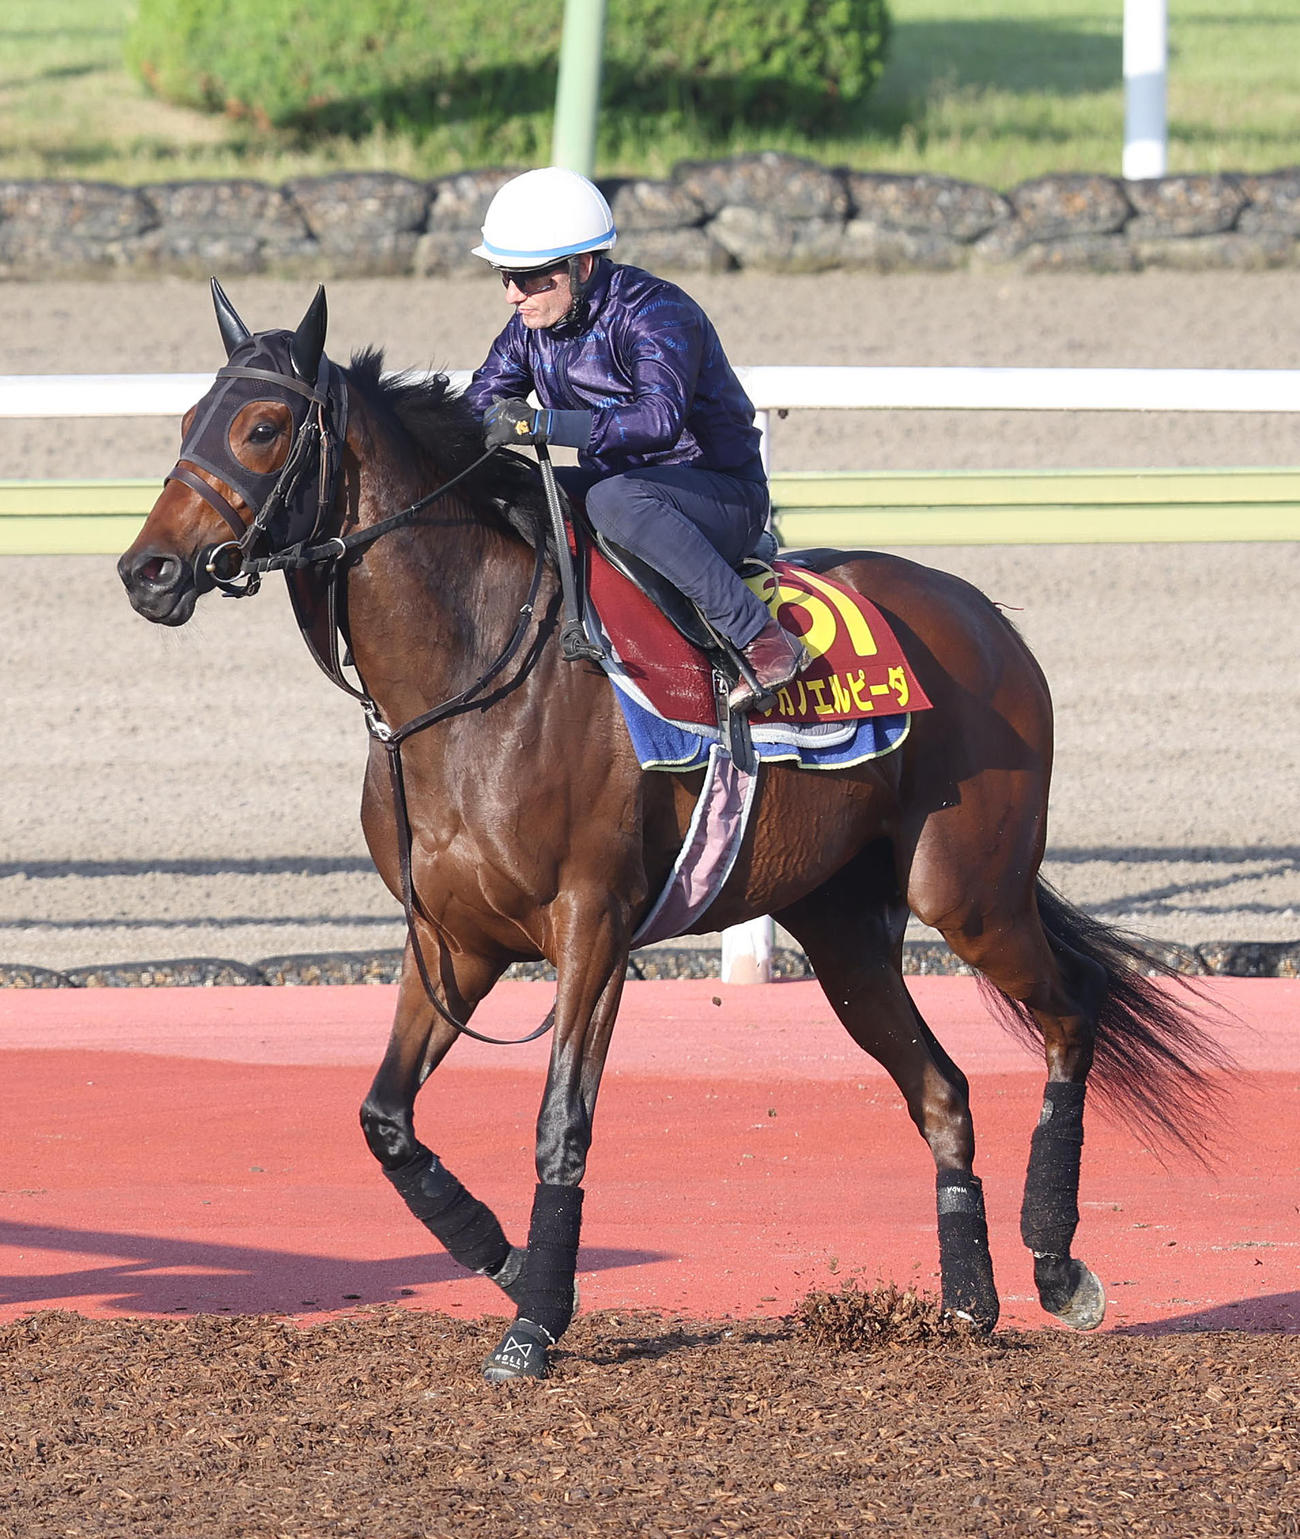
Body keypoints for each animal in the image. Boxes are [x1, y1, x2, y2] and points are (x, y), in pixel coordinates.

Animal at [118, 282, 1226, 1382]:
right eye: (187, 421)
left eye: (263, 427)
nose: (147, 570)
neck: (472, 679)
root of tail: (986, 616)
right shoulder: (452, 937)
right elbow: (385, 1120)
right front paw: (509, 1264)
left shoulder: (594, 926)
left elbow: (560, 1123)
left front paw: (535, 1321)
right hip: (841, 930)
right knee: (944, 1090)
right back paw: (967, 1298)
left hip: (968, 890)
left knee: (1071, 1012)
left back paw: (1056, 1266)